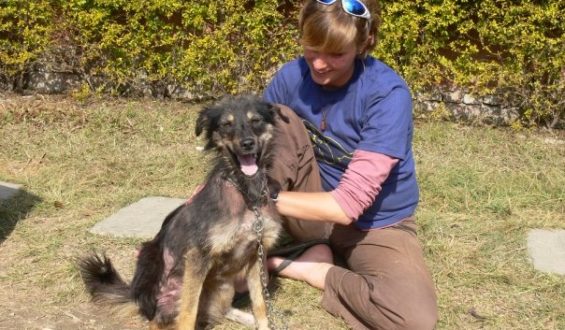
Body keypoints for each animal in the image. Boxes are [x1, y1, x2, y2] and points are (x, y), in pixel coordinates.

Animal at [78, 95, 280, 330]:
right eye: (226, 125)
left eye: (256, 120)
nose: (247, 143)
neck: (247, 193)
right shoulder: (197, 257)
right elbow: (188, 313)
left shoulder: (256, 254)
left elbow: (260, 304)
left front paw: (262, 323)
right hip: (162, 285)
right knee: (162, 321)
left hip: (223, 288)